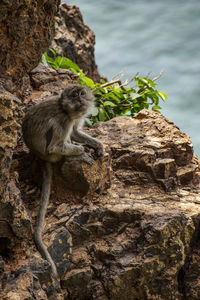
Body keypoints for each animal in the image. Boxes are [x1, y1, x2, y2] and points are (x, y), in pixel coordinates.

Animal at [22, 83, 104, 278]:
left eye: (81, 93)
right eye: (74, 96)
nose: (80, 99)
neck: (67, 110)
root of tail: (38, 155)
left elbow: (75, 132)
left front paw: (97, 145)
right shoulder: (63, 120)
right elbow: (57, 145)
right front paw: (82, 152)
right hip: (49, 153)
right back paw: (75, 156)